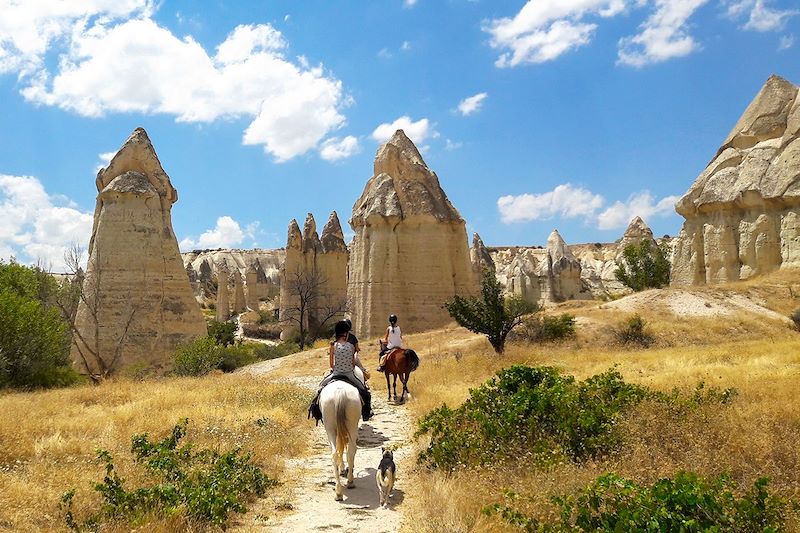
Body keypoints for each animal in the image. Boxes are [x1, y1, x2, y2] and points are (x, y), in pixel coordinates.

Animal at [320, 366, 368, 498]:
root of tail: (340, 392)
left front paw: (342, 469)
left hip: (331, 428)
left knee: (335, 453)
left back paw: (339, 491)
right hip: (351, 426)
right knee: (350, 450)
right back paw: (349, 482)